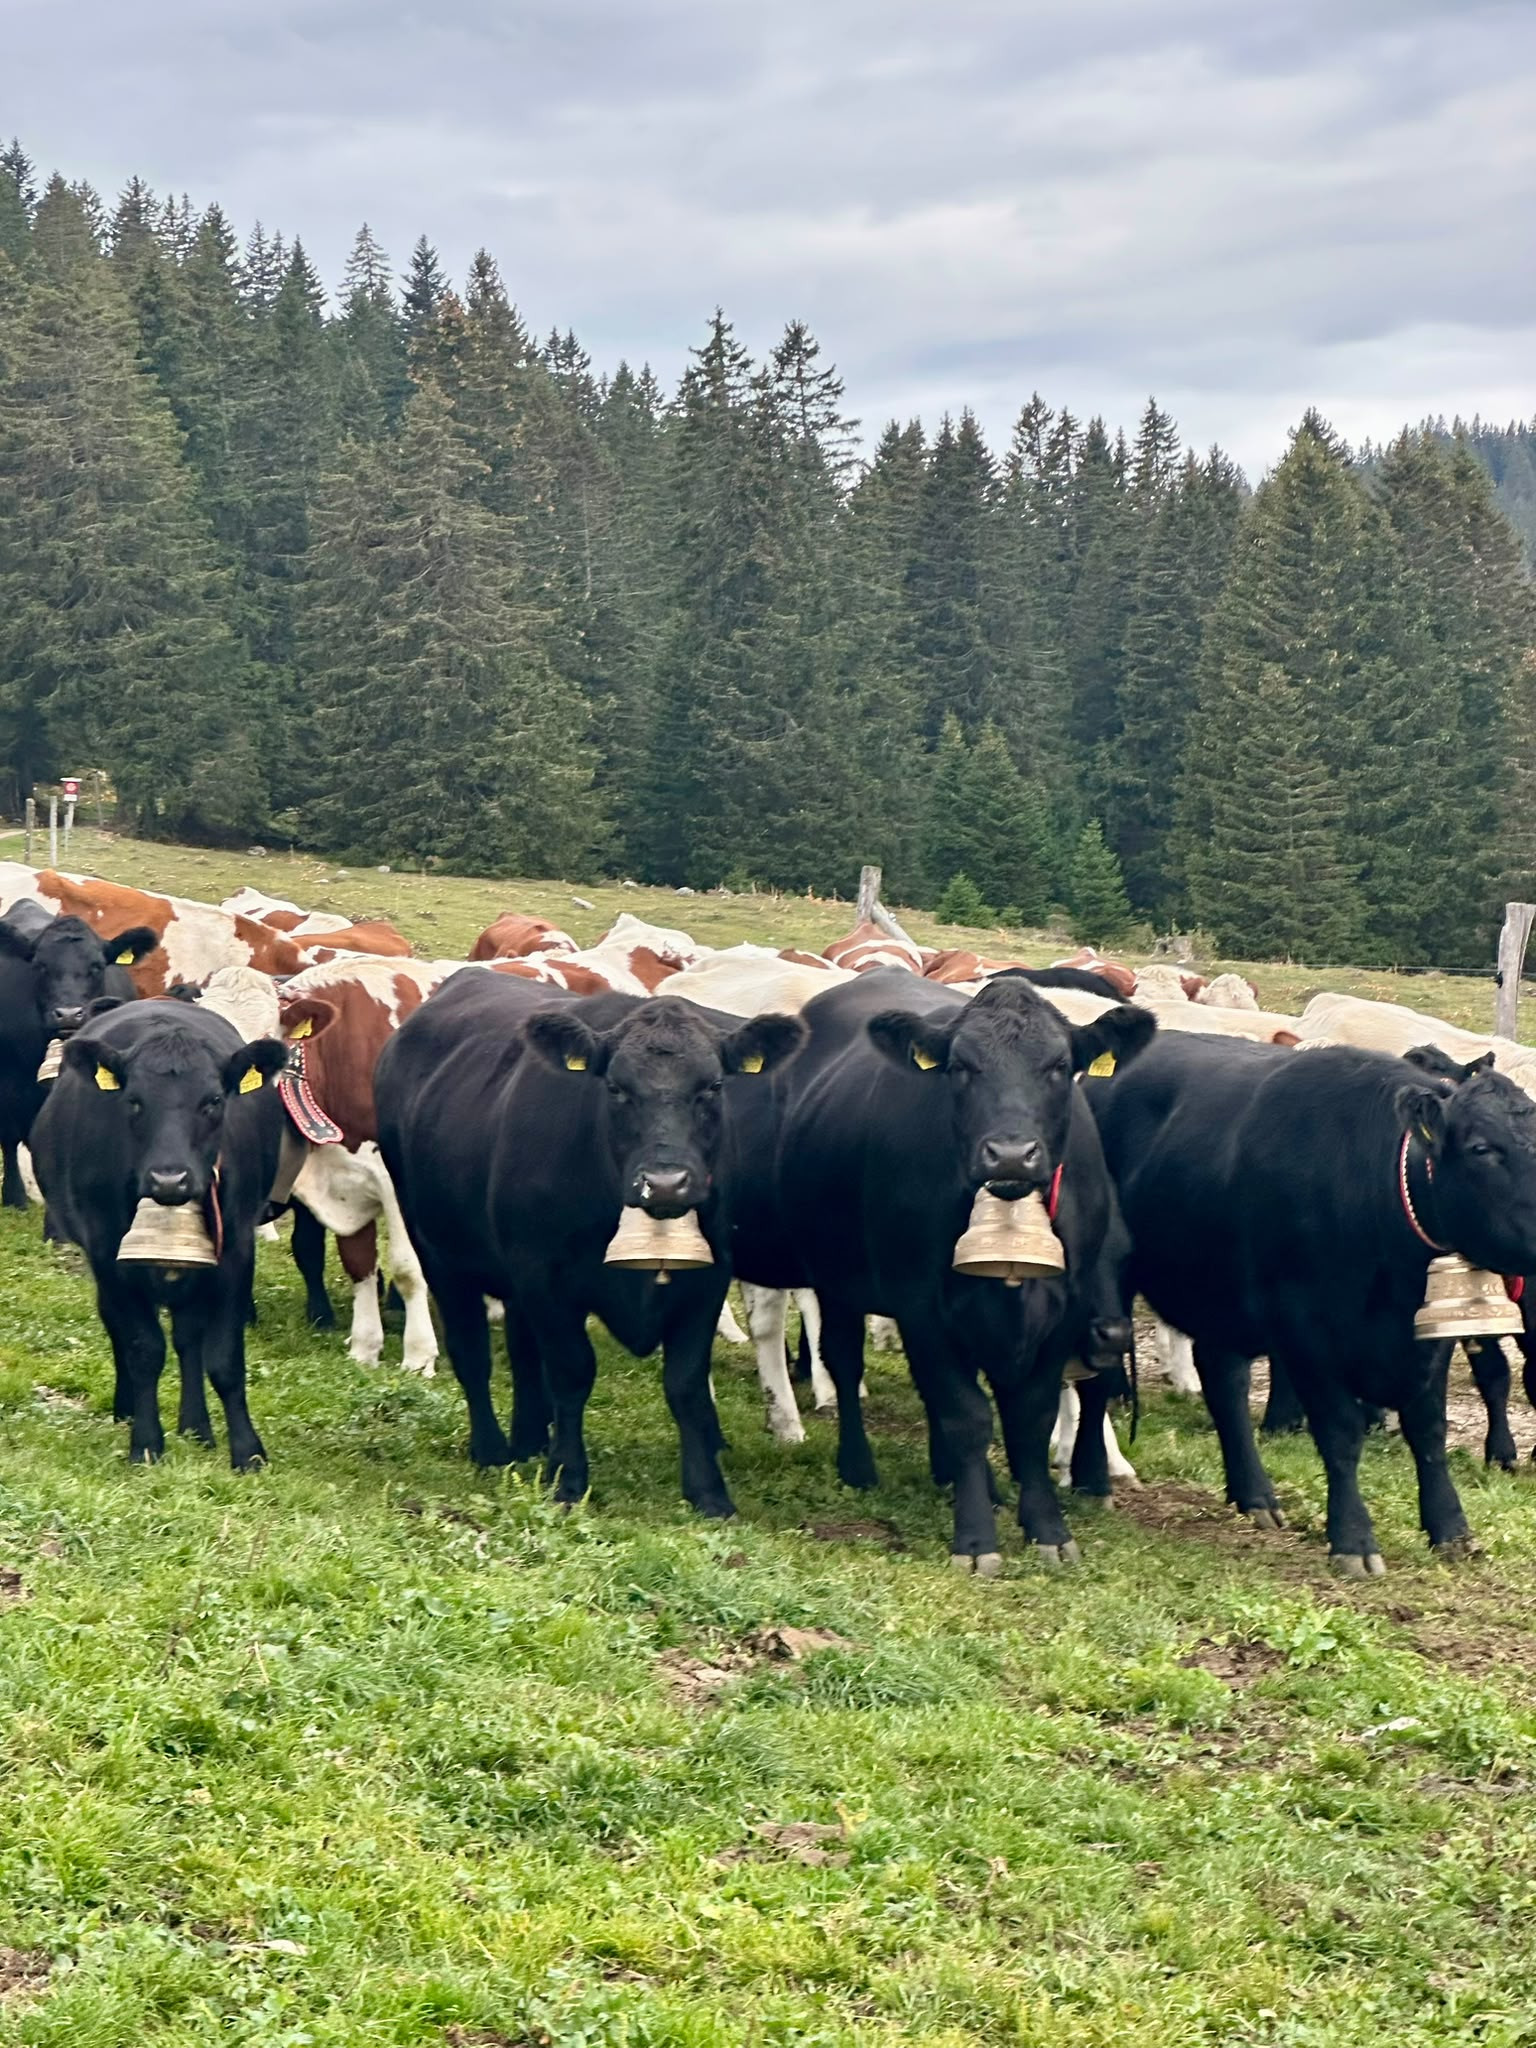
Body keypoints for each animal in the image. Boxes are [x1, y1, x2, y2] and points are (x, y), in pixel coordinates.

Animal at [0, 914, 159, 1207]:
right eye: (40, 966)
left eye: (96, 966)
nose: (68, 1014)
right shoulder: (6, 1084)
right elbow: (10, 1137)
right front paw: (15, 1196)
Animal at [29, 1000, 296, 1467]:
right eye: (134, 1102)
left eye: (213, 1101)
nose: (169, 1178)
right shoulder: (107, 1252)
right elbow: (143, 1348)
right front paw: (147, 1443)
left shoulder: (235, 1250)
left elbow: (223, 1359)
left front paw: (247, 1452)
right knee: (119, 1327)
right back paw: (128, 1409)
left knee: (188, 1339)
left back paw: (196, 1427)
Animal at [375, 972, 805, 1510]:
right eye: (616, 1088)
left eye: (714, 1086)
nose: (666, 1182)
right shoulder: (545, 1275)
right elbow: (571, 1371)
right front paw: (568, 1478)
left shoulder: (708, 1278)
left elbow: (684, 1384)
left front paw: (709, 1492)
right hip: (439, 1251)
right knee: (471, 1351)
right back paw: (491, 1449)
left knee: (522, 1351)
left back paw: (530, 1440)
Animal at [752, 969, 1155, 1570]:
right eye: (961, 1066)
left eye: (1060, 1065)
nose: (1010, 1154)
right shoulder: (923, 1306)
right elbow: (967, 1416)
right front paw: (976, 1540)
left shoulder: (1064, 1311)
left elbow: (1028, 1418)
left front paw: (1047, 1529)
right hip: (837, 1276)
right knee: (844, 1362)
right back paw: (860, 1466)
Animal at [1089, 1033, 1536, 1572]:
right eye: (1481, 1148)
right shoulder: (1305, 1331)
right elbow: (1341, 1433)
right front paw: (1353, 1539)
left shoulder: (1427, 1338)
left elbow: (1429, 1429)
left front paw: (1451, 1529)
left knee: (1224, 1381)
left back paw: (1254, 1495)